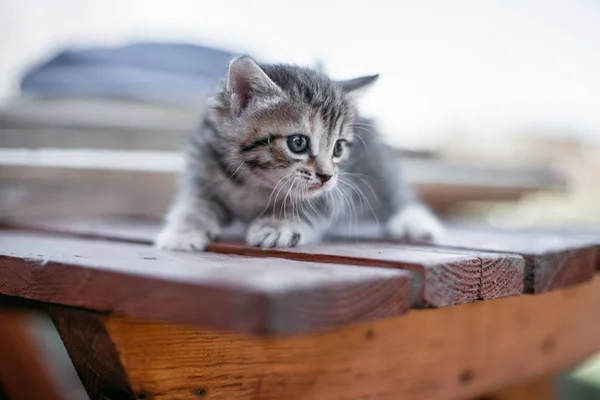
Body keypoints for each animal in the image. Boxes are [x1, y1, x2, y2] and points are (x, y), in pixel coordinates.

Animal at [157, 56, 442, 250]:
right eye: (298, 143)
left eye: (338, 147)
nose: (326, 176)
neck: (254, 183)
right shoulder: (203, 168)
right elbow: (194, 204)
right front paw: (182, 231)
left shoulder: (338, 189)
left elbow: (311, 206)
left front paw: (279, 225)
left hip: (374, 161)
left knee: (392, 189)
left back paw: (414, 221)